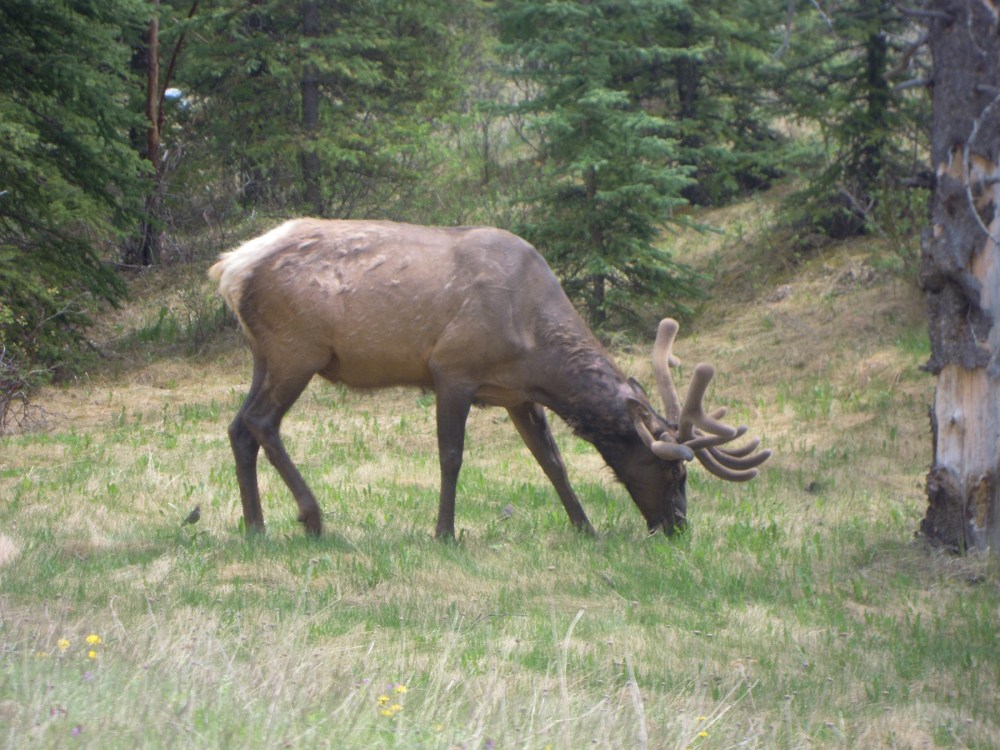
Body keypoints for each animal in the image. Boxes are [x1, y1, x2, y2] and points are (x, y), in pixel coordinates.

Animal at [209, 219, 769, 539]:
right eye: (675, 474)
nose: (678, 529)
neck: (536, 345)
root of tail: (231, 268)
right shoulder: (452, 370)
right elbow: (452, 457)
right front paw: (444, 532)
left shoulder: (518, 394)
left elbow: (552, 462)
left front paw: (585, 527)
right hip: (296, 349)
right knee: (262, 422)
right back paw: (311, 517)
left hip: (265, 355)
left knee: (239, 425)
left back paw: (255, 526)